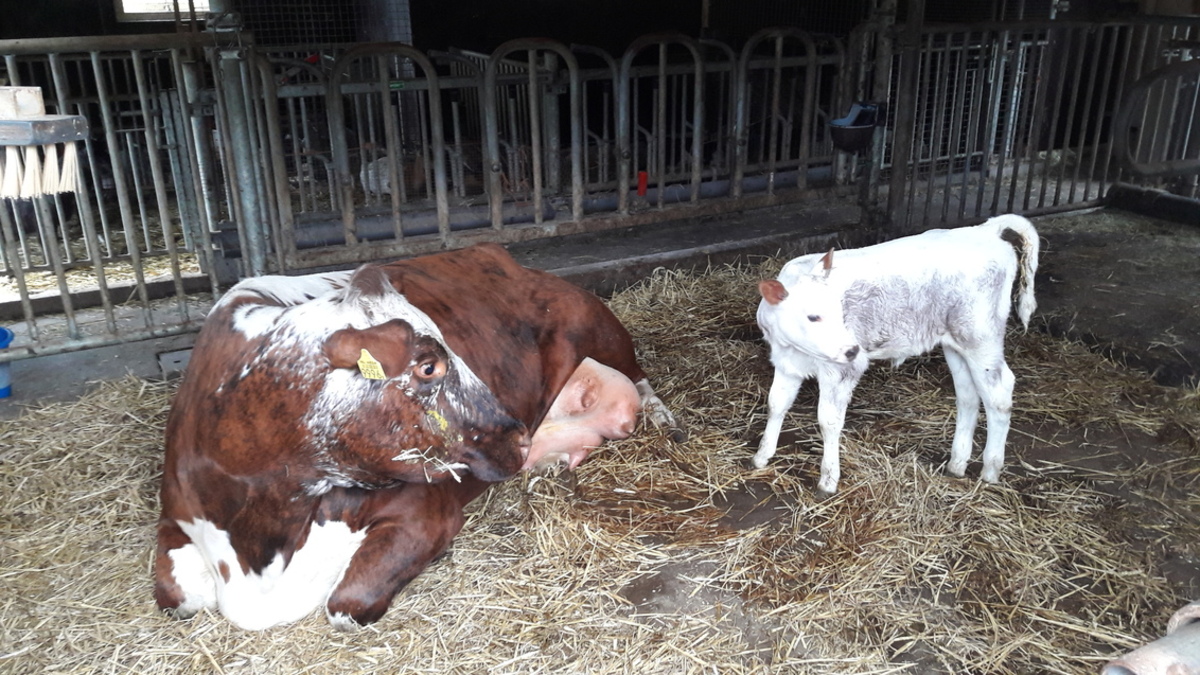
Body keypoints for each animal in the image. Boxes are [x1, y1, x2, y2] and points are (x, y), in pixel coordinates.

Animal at [158, 242, 681, 629]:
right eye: (428, 367)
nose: (517, 437)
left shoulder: (425, 508)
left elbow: (346, 605)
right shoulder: (176, 513)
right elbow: (175, 597)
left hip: (591, 321)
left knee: (638, 376)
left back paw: (659, 418)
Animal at [753, 213, 1036, 494]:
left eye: (840, 311)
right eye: (813, 316)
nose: (852, 349)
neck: (796, 349)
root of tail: (986, 230)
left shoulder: (843, 370)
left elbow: (828, 421)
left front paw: (828, 479)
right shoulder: (786, 364)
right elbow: (776, 403)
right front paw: (761, 456)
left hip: (981, 337)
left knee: (999, 394)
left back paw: (990, 470)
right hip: (956, 344)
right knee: (968, 395)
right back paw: (956, 464)